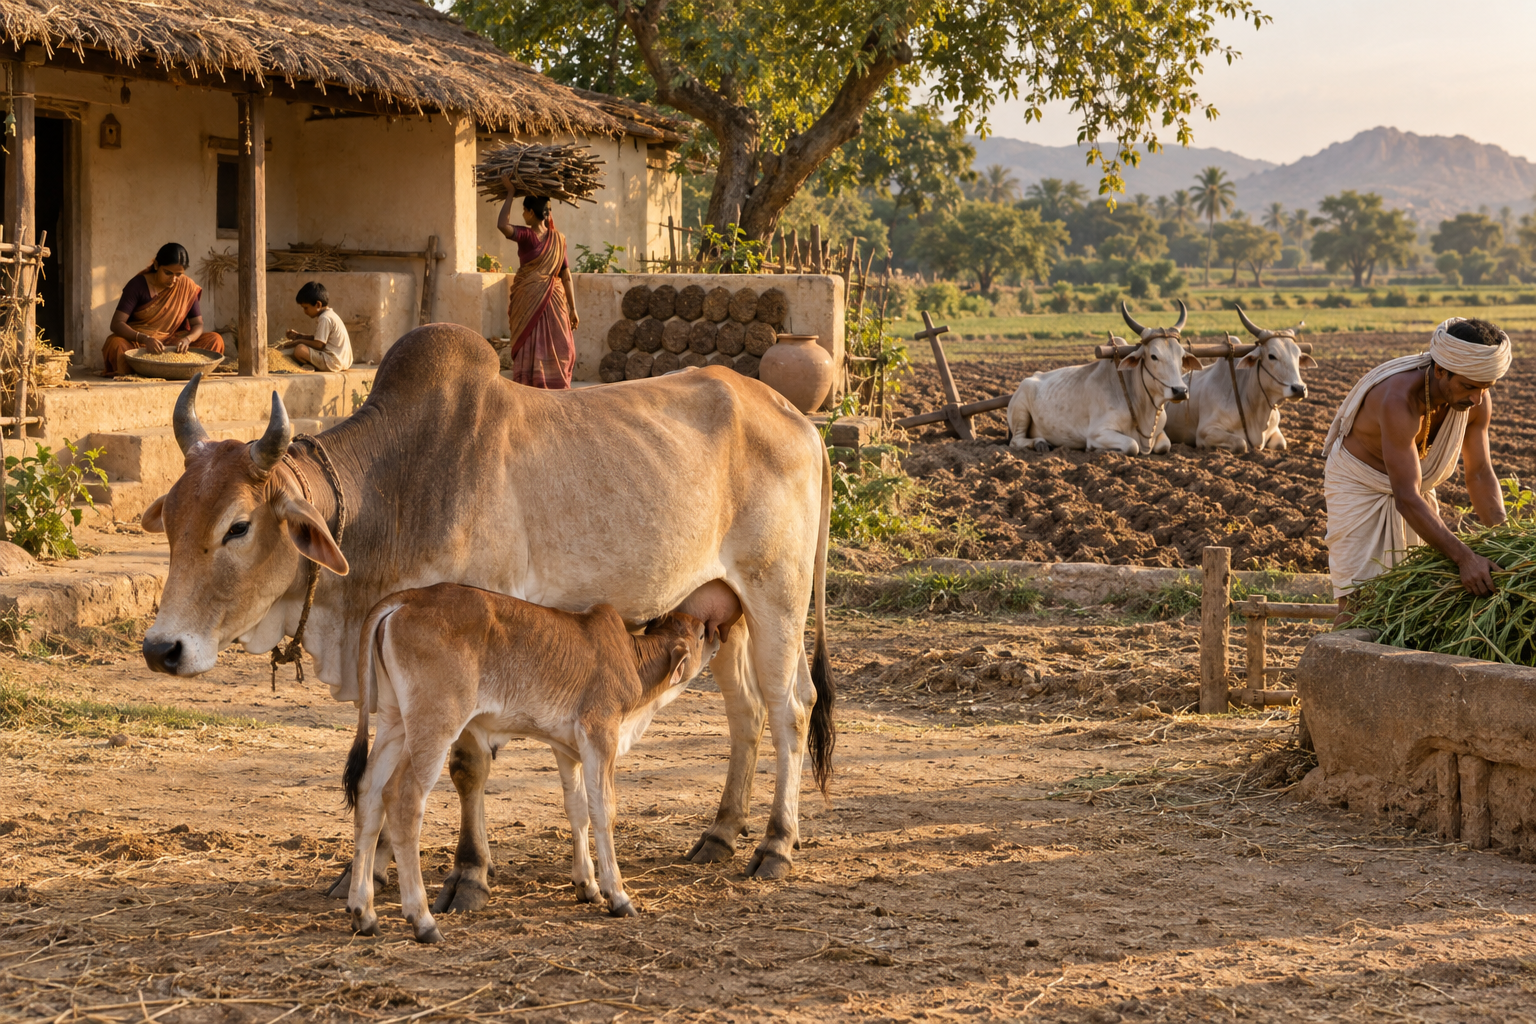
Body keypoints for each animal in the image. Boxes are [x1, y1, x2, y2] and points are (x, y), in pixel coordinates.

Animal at [343, 587, 721, 942]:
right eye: (702, 635)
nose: (717, 632)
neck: (631, 658)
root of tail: (408, 598)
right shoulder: (600, 733)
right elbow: (603, 811)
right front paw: (617, 895)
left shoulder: (568, 750)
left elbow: (577, 810)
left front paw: (587, 886)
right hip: (434, 724)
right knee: (403, 798)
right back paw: (422, 921)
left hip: (394, 722)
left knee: (368, 792)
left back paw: (364, 913)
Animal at [1008, 302, 1200, 455]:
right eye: (1154, 356)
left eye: (1182, 356)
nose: (1180, 391)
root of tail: (1032, 377)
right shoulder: (1097, 433)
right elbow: (1132, 446)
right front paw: (1100, 450)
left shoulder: (1160, 433)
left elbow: (1164, 446)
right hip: (1020, 411)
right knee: (1016, 441)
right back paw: (1040, 443)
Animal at [1163, 306, 1314, 452]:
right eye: (1272, 356)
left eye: (1298, 356)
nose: (1299, 389)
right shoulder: (1205, 431)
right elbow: (1240, 443)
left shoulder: (1275, 431)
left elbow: (1281, 444)